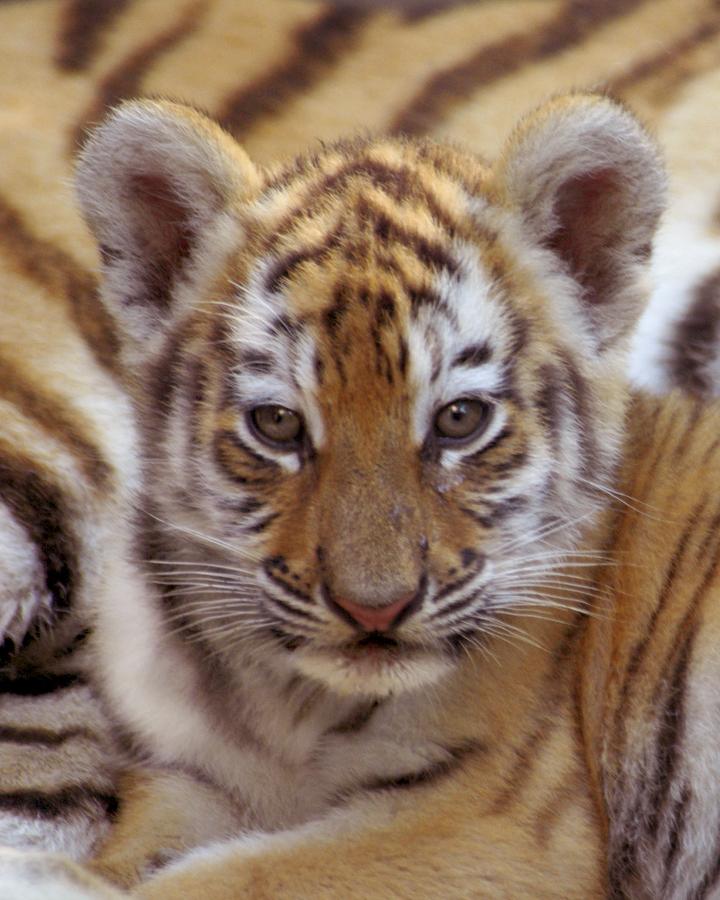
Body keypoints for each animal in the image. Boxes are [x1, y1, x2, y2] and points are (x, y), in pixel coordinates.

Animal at [2, 0, 720, 897]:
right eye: (277, 425)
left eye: (459, 420)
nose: (374, 609)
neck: (290, 710)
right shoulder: (189, 780)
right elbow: (143, 850)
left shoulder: (491, 823)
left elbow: (233, 878)